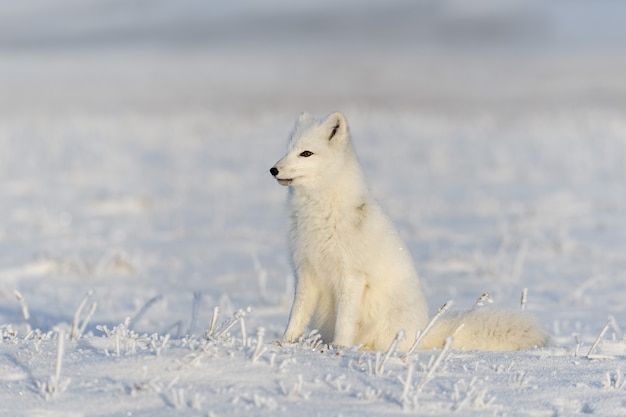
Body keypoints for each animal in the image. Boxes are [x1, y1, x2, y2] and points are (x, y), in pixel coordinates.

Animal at [268, 111, 544, 352]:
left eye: (306, 153)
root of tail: (421, 332)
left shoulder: (351, 276)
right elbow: (296, 314)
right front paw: (284, 342)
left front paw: (340, 347)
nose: (273, 170)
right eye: (288, 150)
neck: (318, 212)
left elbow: (344, 320)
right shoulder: (305, 272)